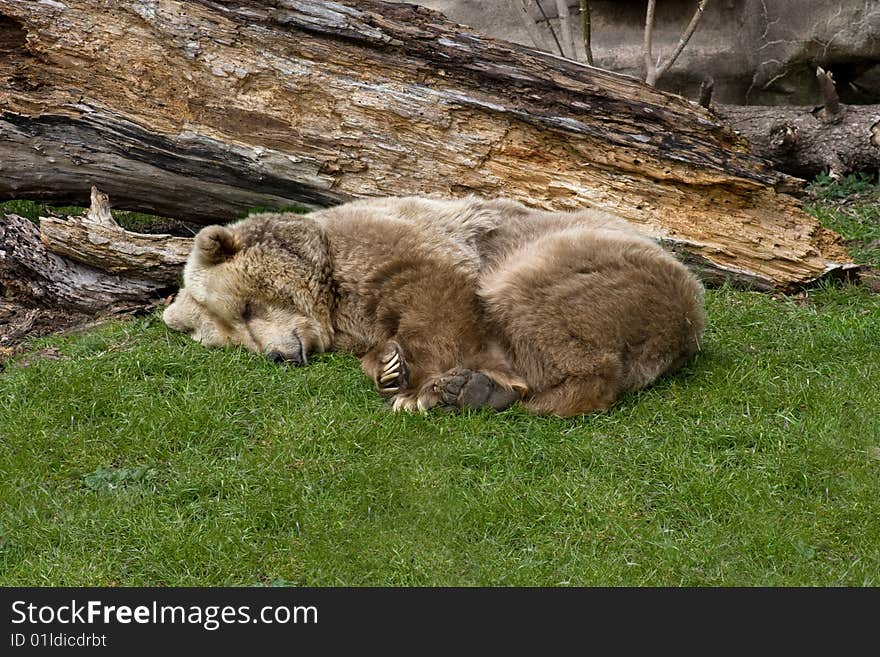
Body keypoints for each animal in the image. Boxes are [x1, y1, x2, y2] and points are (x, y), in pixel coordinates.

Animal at [163, 196, 700, 420]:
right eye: (236, 342)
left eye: (246, 309)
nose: (279, 356)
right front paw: (390, 367)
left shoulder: (391, 242)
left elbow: (439, 293)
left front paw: (408, 380)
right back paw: (473, 391)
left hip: (587, 264)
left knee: (529, 304)